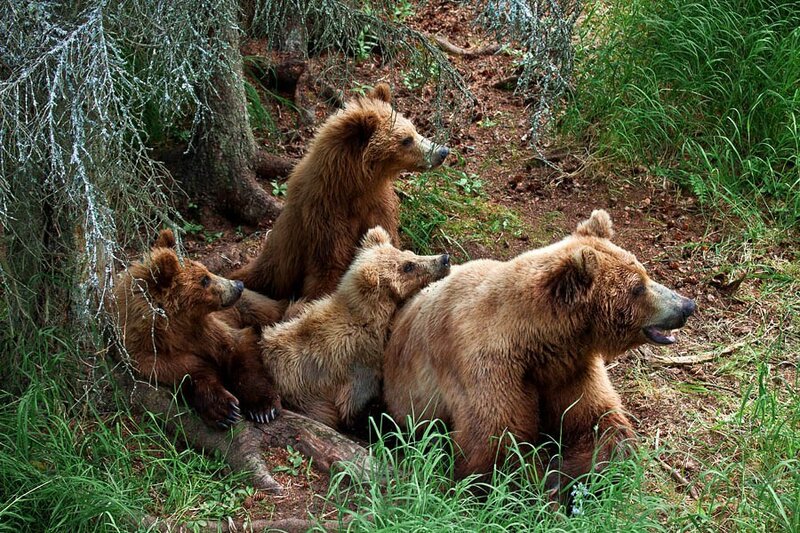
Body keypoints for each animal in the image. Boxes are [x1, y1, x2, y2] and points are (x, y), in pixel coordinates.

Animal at [111, 230, 282, 428]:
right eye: (205, 279)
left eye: (206, 271)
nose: (238, 285)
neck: (175, 328)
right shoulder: (147, 354)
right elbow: (187, 371)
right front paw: (224, 410)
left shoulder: (207, 330)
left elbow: (240, 348)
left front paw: (263, 408)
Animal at [232, 83, 450, 301]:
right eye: (406, 140)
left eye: (414, 129)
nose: (442, 151)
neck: (354, 187)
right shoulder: (326, 217)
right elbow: (331, 267)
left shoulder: (377, 206)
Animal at [382, 210, 696, 497]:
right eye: (638, 287)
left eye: (644, 273)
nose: (686, 305)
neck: (537, 342)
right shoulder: (487, 365)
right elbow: (496, 448)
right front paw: (542, 481)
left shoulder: (570, 367)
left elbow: (599, 423)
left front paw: (566, 471)